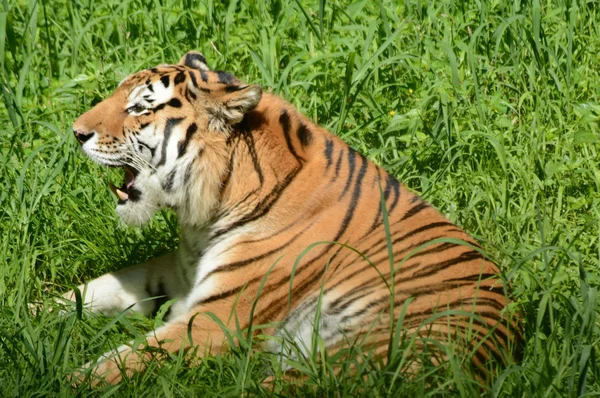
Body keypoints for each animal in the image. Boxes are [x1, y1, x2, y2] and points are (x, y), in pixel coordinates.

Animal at [69, 50, 520, 386]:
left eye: (138, 109)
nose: (75, 132)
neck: (209, 212)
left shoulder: (216, 319)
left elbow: (122, 360)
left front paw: (64, 379)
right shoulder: (175, 275)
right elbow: (93, 289)